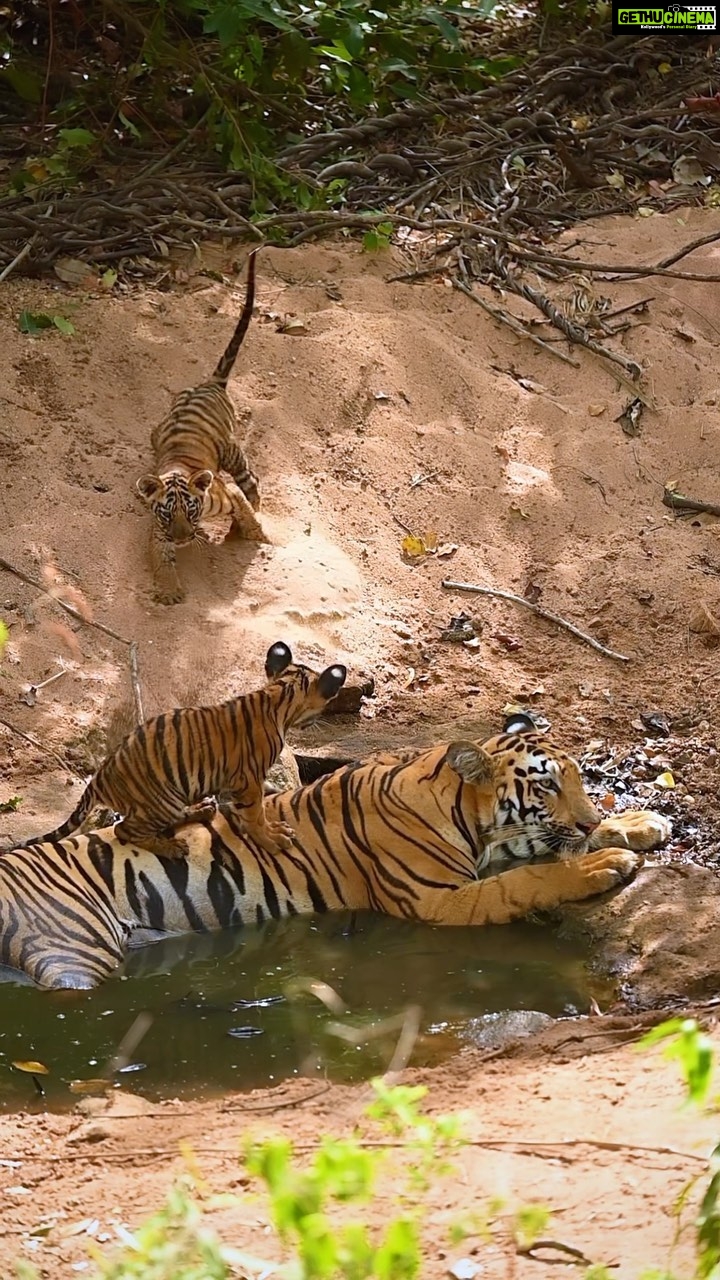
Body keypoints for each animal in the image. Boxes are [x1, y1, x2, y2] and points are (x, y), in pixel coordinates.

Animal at [1, 712, 670, 989]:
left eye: (580, 779)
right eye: (545, 784)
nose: (587, 819)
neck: (462, 809)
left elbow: (540, 853)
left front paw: (637, 823)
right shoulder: (440, 900)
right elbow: (531, 878)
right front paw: (604, 862)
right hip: (74, 949)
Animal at [16, 641, 347, 861]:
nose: (317, 722)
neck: (280, 692)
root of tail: (99, 778)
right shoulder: (249, 779)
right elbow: (255, 815)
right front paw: (273, 838)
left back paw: (202, 809)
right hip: (162, 799)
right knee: (125, 831)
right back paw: (172, 847)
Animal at [136, 247, 267, 605]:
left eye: (191, 510)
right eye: (168, 514)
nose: (182, 539)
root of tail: (210, 383)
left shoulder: (228, 493)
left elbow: (246, 511)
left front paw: (257, 535)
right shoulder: (157, 529)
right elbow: (160, 558)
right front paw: (169, 592)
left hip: (233, 453)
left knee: (251, 483)